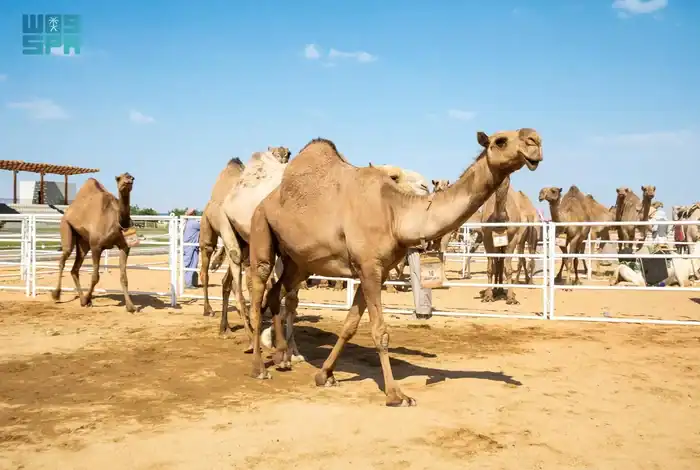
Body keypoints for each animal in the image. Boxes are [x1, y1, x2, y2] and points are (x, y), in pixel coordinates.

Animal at [51, 173, 137, 312]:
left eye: (132, 177)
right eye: (118, 178)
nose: (128, 180)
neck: (115, 221)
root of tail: (68, 211)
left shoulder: (124, 247)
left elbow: (124, 277)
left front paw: (130, 306)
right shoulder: (96, 246)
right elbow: (95, 277)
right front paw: (87, 299)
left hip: (83, 242)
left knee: (74, 269)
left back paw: (81, 300)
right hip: (66, 227)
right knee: (63, 259)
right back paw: (56, 295)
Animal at [246, 129, 542, 407]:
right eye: (500, 141)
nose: (535, 141)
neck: (396, 213)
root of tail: (266, 201)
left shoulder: (377, 271)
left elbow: (350, 324)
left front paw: (324, 374)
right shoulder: (369, 267)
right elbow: (380, 331)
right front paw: (396, 394)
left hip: (300, 261)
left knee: (277, 292)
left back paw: (282, 358)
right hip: (261, 228)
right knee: (259, 291)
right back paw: (260, 368)